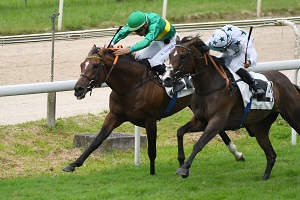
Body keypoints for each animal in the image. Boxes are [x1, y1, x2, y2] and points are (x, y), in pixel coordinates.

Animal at [62, 44, 244, 175]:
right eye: (81, 65)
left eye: (94, 66)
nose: (78, 89)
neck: (132, 85)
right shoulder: (114, 115)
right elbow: (96, 141)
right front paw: (73, 164)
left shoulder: (150, 120)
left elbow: (151, 149)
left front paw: (152, 172)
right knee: (218, 128)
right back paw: (237, 154)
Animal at [165, 35, 300, 180]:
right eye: (170, 55)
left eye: (183, 56)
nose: (167, 79)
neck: (209, 88)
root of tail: (289, 83)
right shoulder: (201, 121)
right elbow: (180, 132)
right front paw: (181, 162)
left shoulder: (217, 122)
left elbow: (199, 144)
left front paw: (184, 168)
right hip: (261, 126)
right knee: (271, 154)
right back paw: (265, 177)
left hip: (293, 116)